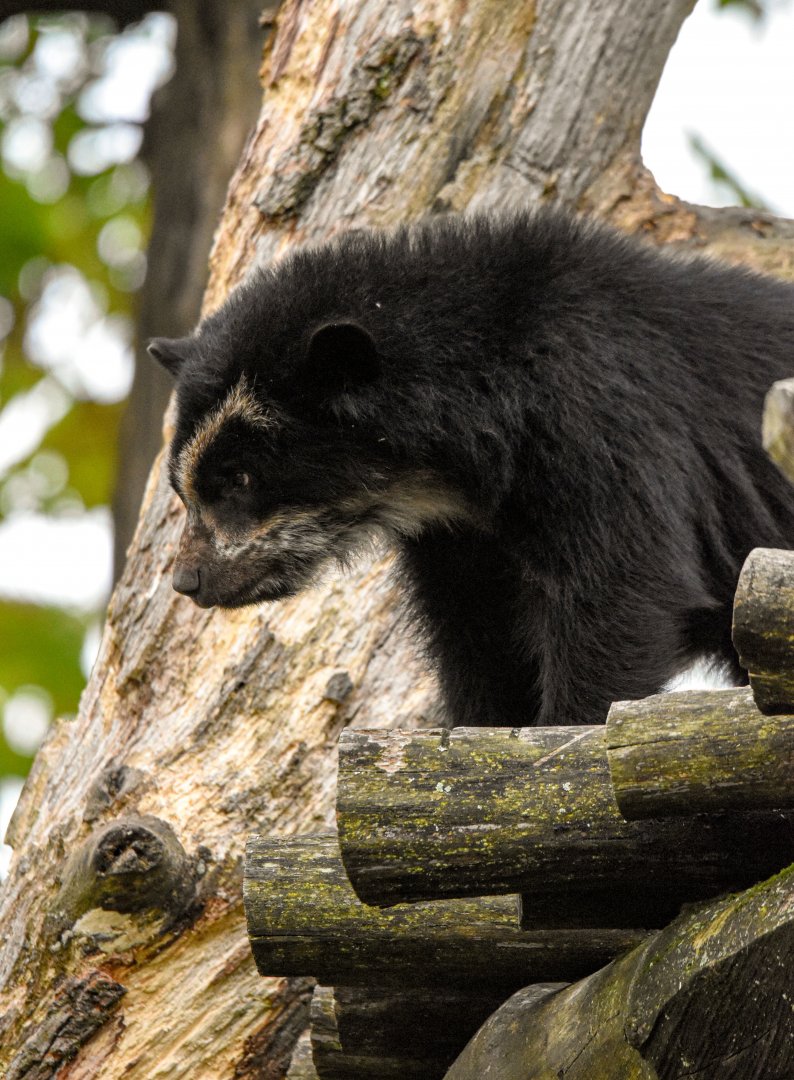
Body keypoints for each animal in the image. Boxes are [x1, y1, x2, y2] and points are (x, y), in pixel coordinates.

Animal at [149, 209, 794, 728]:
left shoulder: (604, 429)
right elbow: (480, 640)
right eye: (183, 488)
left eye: (240, 479)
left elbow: (621, 591)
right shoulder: (459, 541)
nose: (189, 582)